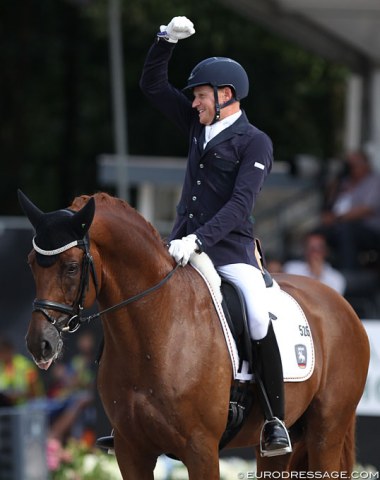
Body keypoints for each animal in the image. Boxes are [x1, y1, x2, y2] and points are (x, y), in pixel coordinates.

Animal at [19, 192, 370, 480]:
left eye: (71, 267)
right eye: (31, 263)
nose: (40, 344)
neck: (156, 332)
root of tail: (341, 303)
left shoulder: (201, 449)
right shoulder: (132, 451)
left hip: (326, 433)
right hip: (277, 449)